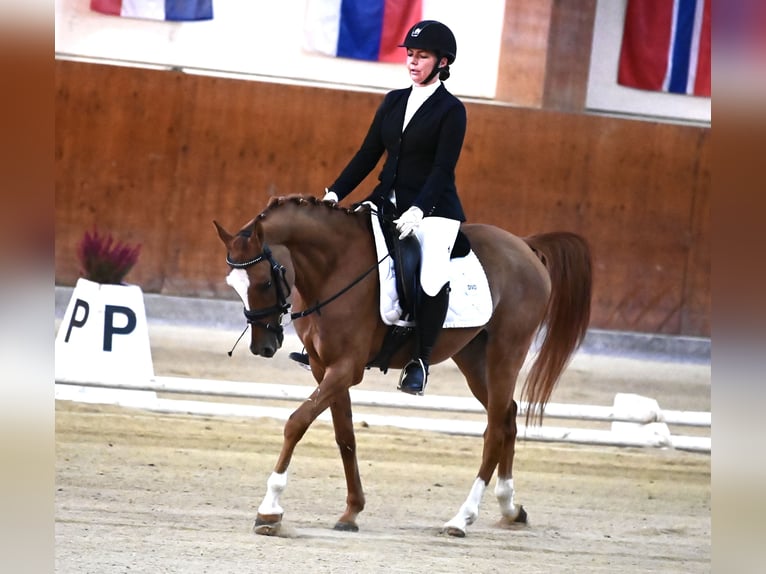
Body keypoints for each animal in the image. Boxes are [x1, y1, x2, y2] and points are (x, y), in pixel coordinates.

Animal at [216, 196, 592, 536]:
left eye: (265, 282)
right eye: (233, 285)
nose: (263, 347)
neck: (336, 268)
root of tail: (525, 246)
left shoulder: (346, 368)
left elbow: (296, 423)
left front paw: (269, 510)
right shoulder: (326, 368)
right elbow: (345, 436)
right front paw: (352, 511)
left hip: (506, 351)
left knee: (496, 427)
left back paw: (461, 519)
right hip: (472, 356)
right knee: (508, 416)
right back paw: (510, 509)